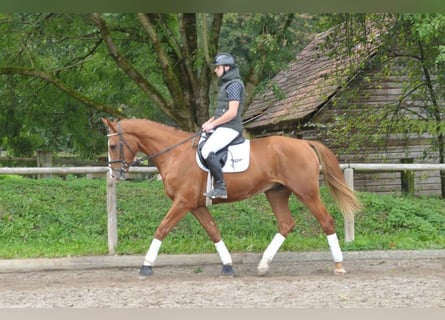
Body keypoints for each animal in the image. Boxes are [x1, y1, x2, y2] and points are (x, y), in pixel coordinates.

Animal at [102, 117, 360, 278]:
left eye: (113, 145)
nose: (115, 174)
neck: (175, 153)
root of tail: (304, 143)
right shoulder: (195, 205)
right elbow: (213, 231)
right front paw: (227, 266)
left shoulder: (183, 202)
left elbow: (162, 228)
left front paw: (146, 266)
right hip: (276, 192)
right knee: (286, 224)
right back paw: (263, 265)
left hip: (306, 192)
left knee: (326, 221)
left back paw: (338, 265)